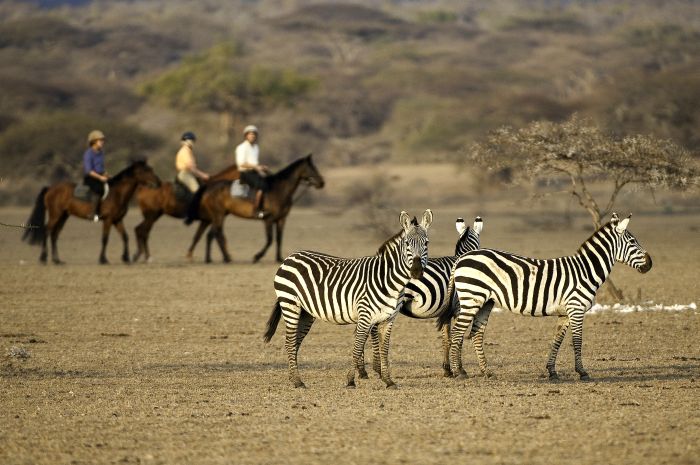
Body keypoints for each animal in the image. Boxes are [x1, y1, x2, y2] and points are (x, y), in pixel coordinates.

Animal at [21, 160, 161, 262]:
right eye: (146, 171)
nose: (158, 183)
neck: (117, 194)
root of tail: (50, 188)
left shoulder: (117, 220)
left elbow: (125, 237)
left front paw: (126, 258)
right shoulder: (108, 220)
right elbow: (105, 239)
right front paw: (103, 259)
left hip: (63, 216)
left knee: (55, 234)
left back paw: (57, 260)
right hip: (55, 215)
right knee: (47, 231)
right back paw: (43, 257)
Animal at [187, 152, 326, 260]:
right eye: (312, 168)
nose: (322, 183)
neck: (279, 190)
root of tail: (209, 186)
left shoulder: (281, 219)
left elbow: (279, 239)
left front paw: (279, 258)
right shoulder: (268, 220)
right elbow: (270, 239)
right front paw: (257, 256)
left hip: (220, 215)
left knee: (212, 234)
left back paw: (211, 258)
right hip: (218, 215)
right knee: (216, 233)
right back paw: (226, 258)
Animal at [264, 208, 432, 386]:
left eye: (426, 243)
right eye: (407, 244)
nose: (416, 271)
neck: (389, 281)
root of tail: (290, 257)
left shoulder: (388, 319)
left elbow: (384, 350)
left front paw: (388, 381)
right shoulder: (365, 316)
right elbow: (357, 348)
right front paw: (351, 380)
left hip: (306, 312)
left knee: (295, 342)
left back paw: (293, 377)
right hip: (290, 304)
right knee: (289, 342)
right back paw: (297, 381)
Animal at [370, 214, 484, 376]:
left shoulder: (446, 312)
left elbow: (446, 338)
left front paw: (447, 369)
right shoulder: (458, 308)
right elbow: (458, 337)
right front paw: (460, 369)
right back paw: (376, 368)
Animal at [438, 214, 652, 380]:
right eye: (632, 242)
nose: (650, 264)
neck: (585, 271)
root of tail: (461, 259)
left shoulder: (565, 313)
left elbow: (557, 339)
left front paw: (552, 371)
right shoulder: (576, 308)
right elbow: (577, 341)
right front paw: (582, 372)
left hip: (485, 301)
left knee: (476, 333)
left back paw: (486, 371)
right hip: (471, 298)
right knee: (457, 332)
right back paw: (459, 372)